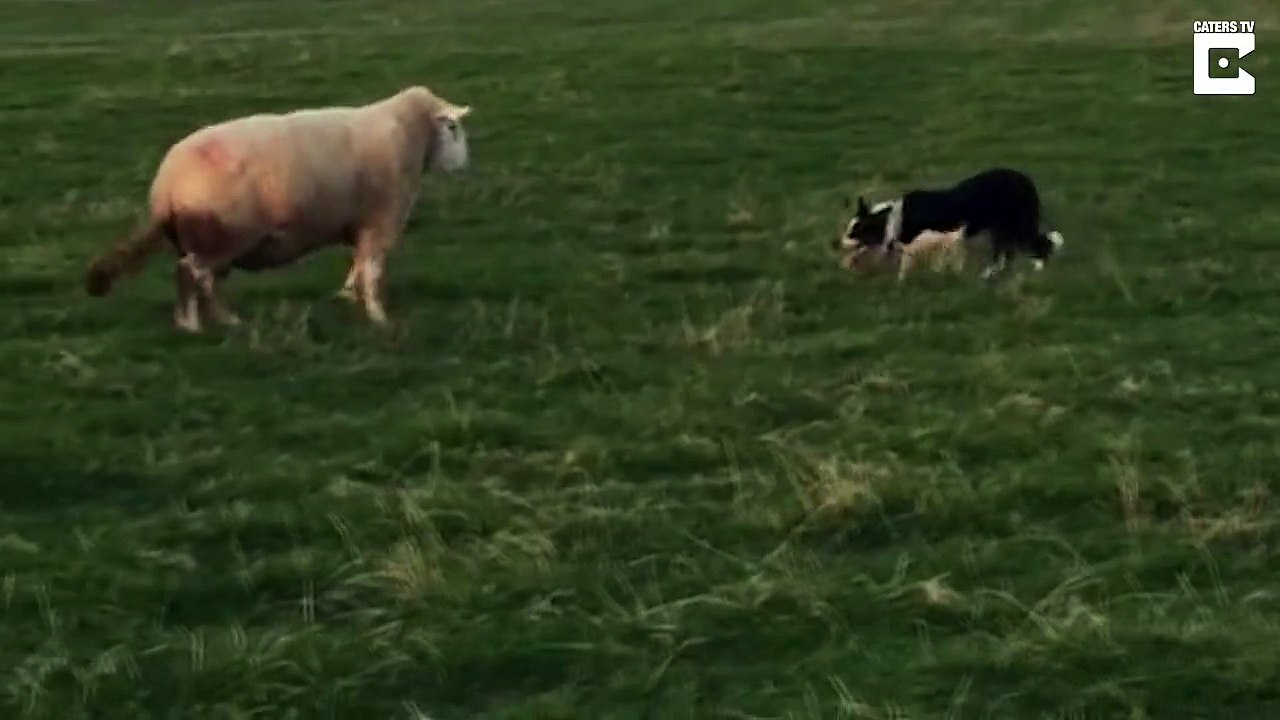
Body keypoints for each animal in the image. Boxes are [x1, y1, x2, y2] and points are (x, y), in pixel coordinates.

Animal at [83, 85, 473, 332]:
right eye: (452, 127)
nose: (464, 166)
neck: (409, 133)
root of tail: (166, 184)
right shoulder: (381, 220)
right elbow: (372, 271)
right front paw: (379, 317)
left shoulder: (361, 226)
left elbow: (358, 265)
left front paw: (347, 298)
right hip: (222, 234)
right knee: (194, 275)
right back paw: (211, 324)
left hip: (199, 238)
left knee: (195, 277)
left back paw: (195, 322)